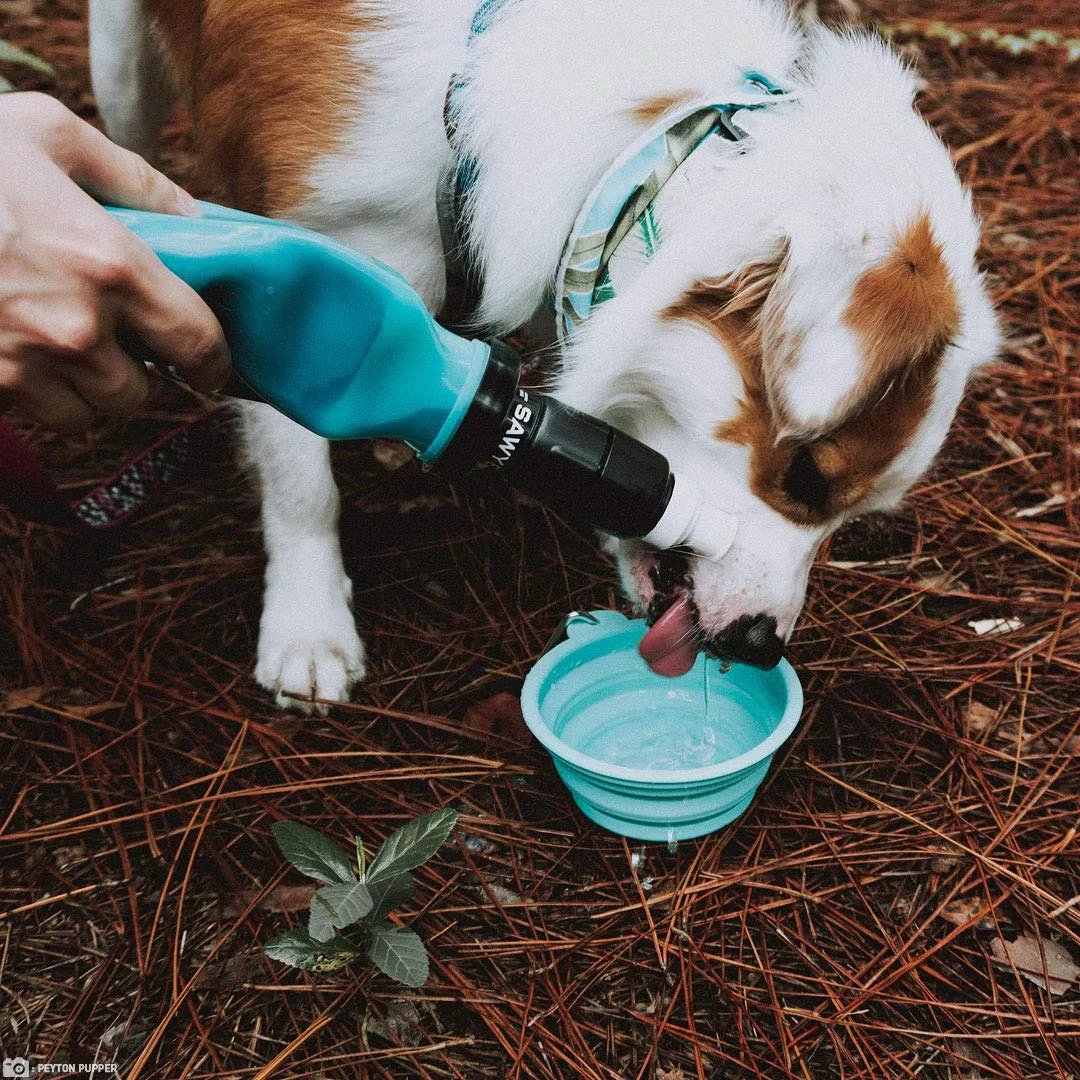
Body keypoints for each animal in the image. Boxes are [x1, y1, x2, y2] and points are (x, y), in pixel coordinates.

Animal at [88, 0, 997, 712]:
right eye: (804, 477)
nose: (760, 644)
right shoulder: (307, 272)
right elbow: (300, 480)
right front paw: (308, 624)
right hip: (120, 68)